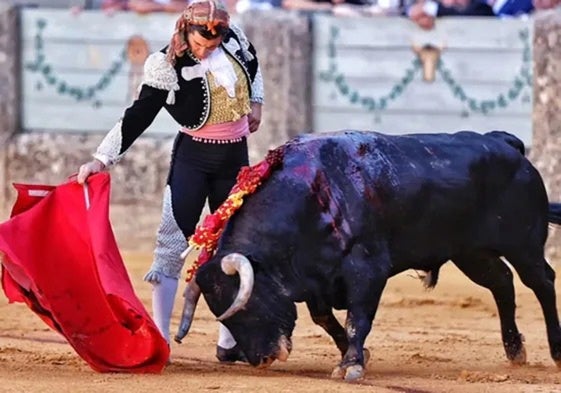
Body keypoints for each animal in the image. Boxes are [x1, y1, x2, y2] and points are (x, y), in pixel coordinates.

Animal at [174, 129, 560, 380]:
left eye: (245, 304)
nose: (262, 358)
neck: (313, 194)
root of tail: (507, 143)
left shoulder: (367, 268)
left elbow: (358, 316)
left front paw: (352, 364)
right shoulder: (315, 277)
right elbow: (325, 318)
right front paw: (353, 354)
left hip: (523, 245)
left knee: (541, 281)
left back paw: (556, 352)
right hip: (471, 253)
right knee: (502, 282)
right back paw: (515, 350)